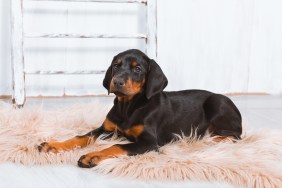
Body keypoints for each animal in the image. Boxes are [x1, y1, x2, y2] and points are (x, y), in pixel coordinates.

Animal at [37, 48, 242, 167]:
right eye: (116, 66)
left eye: (137, 69)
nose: (117, 81)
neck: (127, 107)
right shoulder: (108, 129)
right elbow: (81, 137)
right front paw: (54, 145)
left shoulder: (150, 143)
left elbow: (118, 146)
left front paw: (92, 155)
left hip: (217, 103)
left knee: (235, 135)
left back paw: (207, 139)